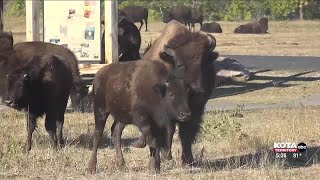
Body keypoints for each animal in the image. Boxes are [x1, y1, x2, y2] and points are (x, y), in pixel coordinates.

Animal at [87, 45, 191, 174]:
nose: (186, 114)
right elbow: (149, 135)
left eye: (187, 93)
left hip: (121, 117)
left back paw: (121, 164)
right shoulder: (140, 117)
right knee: (98, 135)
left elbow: (157, 141)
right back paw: (91, 167)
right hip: (100, 111)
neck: (157, 90)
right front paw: (138, 144)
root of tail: (98, 75)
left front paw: (155, 166)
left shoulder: (161, 124)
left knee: (116, 133)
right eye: (171, 94)